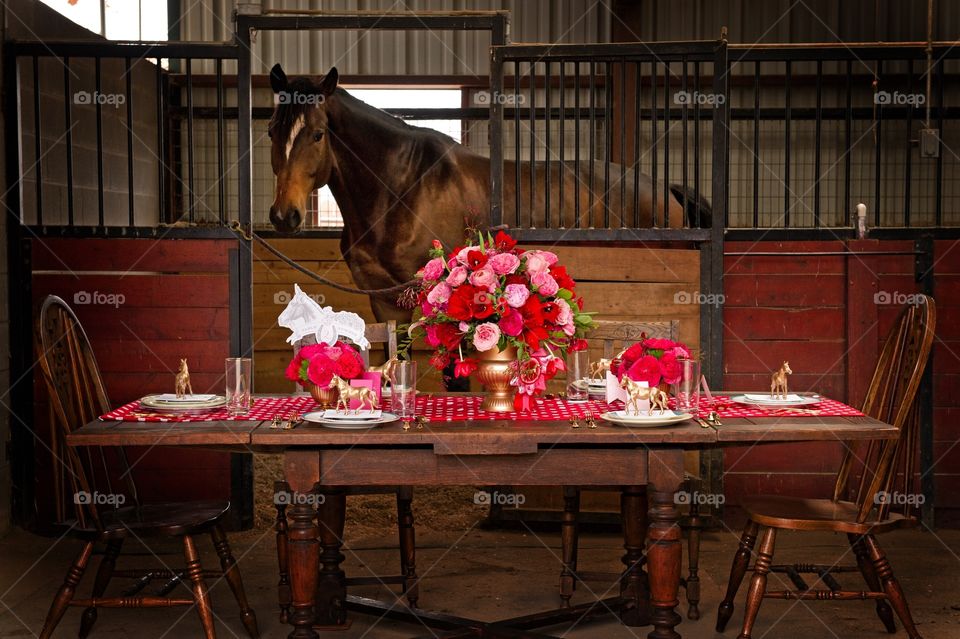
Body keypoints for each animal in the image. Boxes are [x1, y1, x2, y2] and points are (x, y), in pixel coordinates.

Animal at [267, 64, 713, 323]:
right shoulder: (384, 300)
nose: (284, 216)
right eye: (272, 131)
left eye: (318, 134)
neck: (400, 189)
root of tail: (666, 190)